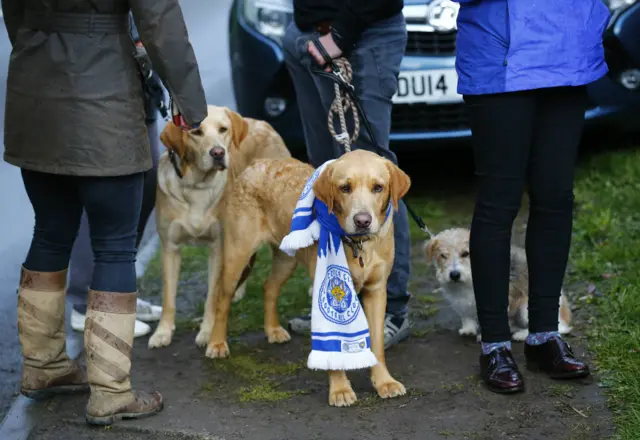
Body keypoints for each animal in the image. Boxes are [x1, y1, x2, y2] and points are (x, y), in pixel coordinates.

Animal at [149, 105, 292, 348]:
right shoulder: (170, 247)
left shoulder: (218, 246)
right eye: (196, 132)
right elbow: (168, 297)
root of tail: (260, 122)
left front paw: (207, 332)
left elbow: (212, 296)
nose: (217, 152)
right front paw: (163, 332)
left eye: (223, 129)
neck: (197, 186)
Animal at [208, 150, 412, 408]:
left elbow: (377, 345)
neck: (358, 245)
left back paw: (273, 329)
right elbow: (332, 349)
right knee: (222, 298)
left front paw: (384, 382)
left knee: (269, 287)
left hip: (286, 259)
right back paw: (216, 343)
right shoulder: (324, 286)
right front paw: (340, 390)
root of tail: (258, 164)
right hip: (237, 255)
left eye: (378, 187)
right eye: (345, 188)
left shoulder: (377, 291)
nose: (362, 220)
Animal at [424, 229, 568, 342]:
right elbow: (466, 316)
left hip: (525, 308)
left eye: (465, 253)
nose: (454, 275)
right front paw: (468, 329)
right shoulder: (460, 301)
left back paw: (521, 335)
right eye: (442, 255)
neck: (468, 280)